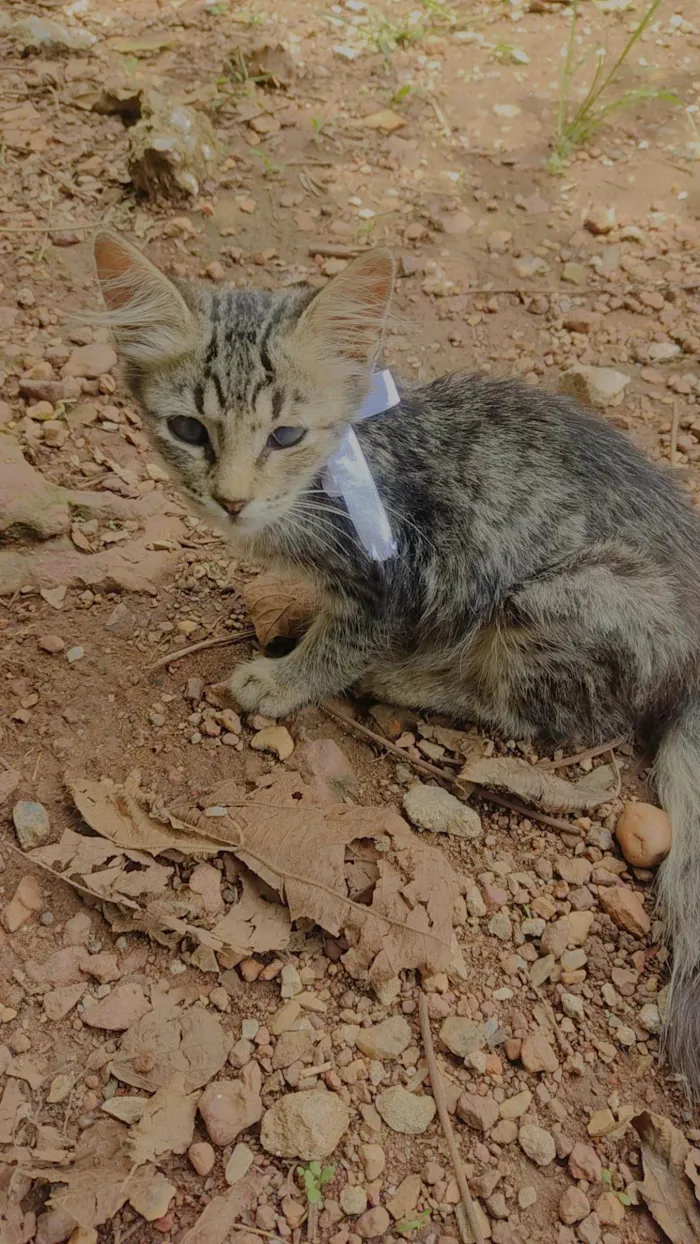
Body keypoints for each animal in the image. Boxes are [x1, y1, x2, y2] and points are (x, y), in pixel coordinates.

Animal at [94, 231, 700, 1089]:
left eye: (285, 436)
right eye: (188, 429)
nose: (232, 500)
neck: (343, 460)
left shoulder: (396, 577)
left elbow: (342, 643)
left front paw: (282, 678)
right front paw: (289, 613)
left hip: (554, 598)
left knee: (548, 713)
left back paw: (414, 678)